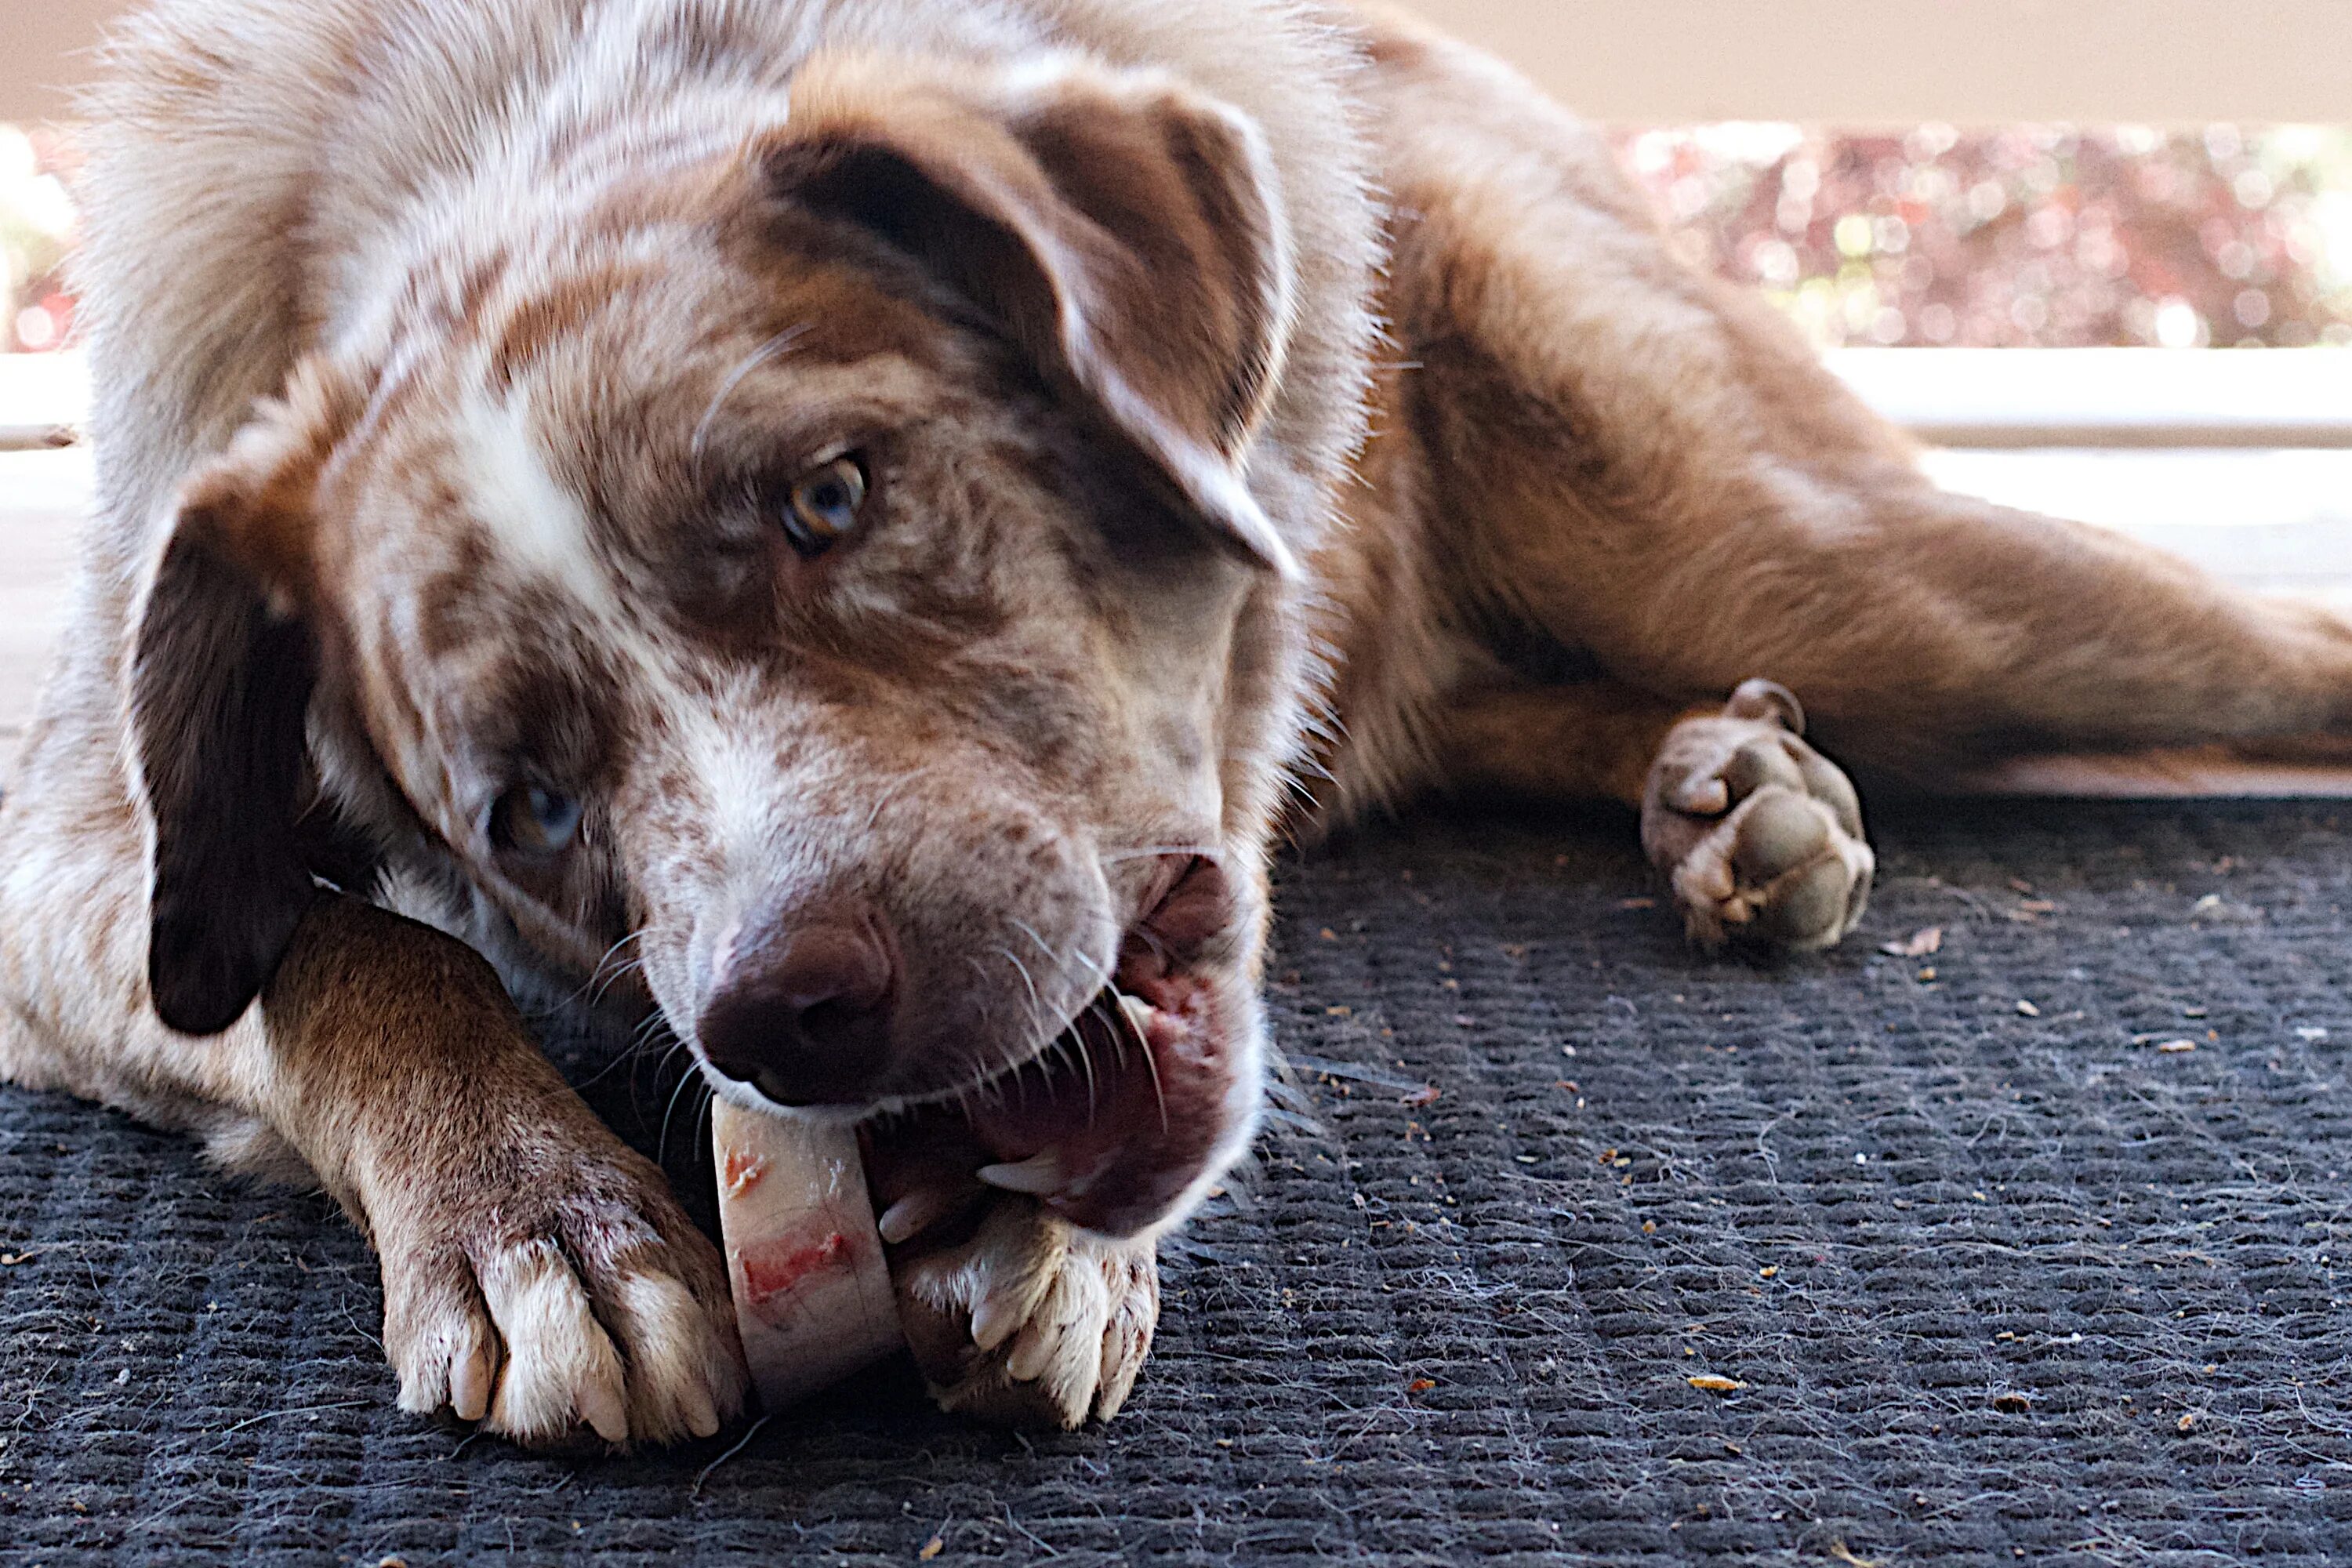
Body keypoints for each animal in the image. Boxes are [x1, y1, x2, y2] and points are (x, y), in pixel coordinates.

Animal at [4, 0, 2352, 1448]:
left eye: (832, 496)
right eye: (529, 809)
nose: (790, 1012)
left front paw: (1044, 1250)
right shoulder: (73, 838)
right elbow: (357, 948)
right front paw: (535, 1228)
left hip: (1831, 557)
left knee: (2238, 635)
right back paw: (1729, 786)